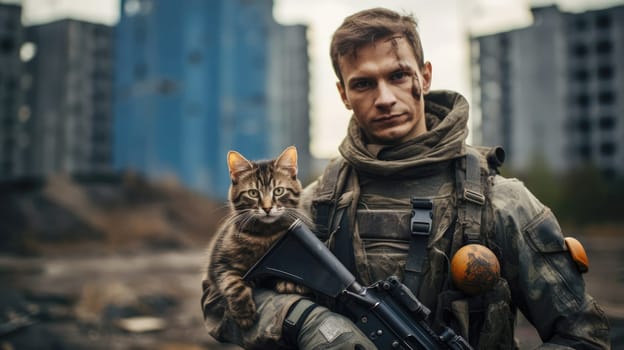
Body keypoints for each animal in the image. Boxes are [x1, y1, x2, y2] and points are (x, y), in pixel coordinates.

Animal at [205, 145, 310, 328]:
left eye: (279, 191)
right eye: (253, 193)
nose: (267, 208)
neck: (265, 234)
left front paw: (290, 281)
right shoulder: (219, 263)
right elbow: (233, 283)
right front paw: (244, 312)